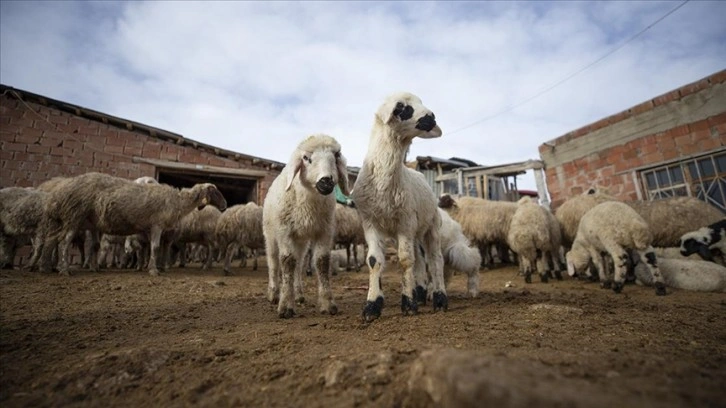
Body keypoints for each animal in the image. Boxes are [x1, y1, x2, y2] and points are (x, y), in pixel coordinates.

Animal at [264, 134, 350, 318]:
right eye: (306, 158)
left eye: (336, 156)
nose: (326, 182)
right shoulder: (285, 232)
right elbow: (287, 262)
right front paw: (285, 306)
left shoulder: (324, 231)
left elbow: (322, 262)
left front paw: (327, 303)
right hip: (270, 234)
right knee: (274, 262)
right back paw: (273, 294)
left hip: (301, 240)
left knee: (299, 264)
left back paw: (298, 294)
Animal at [352, 92, 450, 322]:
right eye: (401, 107)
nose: (431, 117)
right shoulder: (370, 222)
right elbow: (374, 261)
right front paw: (372, 306)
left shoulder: (405, 221)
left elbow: (405, 261)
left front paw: (408, 303)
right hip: (414, 231)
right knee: (420, 261)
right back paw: (421, 293)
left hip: (431, 225)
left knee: (435, 260)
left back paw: (439, 299)